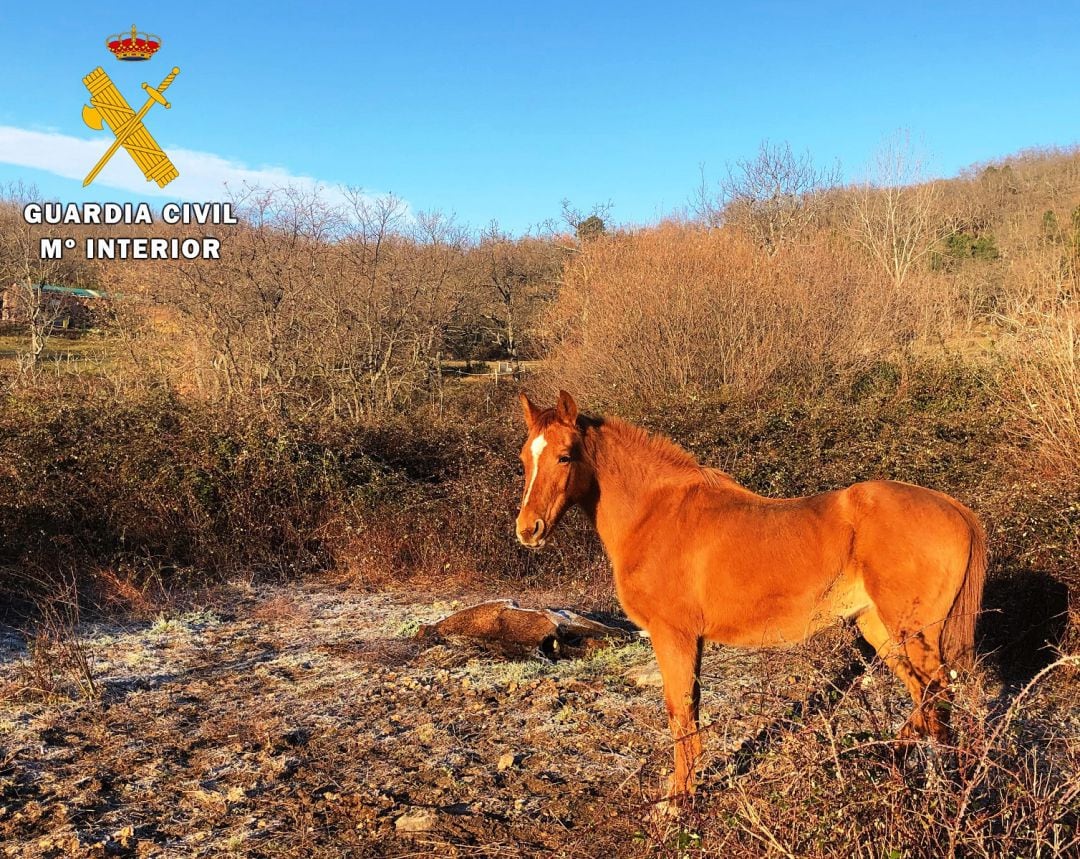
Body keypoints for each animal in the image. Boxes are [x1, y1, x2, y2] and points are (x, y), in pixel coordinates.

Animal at [516, 388, 989, 799]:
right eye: (524, 459)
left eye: (565, 456)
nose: (528, 530)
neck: (657, 514)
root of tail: (955, 508)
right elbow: (691, 708)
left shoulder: (673, 636)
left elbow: (679, 712)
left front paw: (676, 802)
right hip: (880, 630)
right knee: (924, 699)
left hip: (913, 633)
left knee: (938, 698)